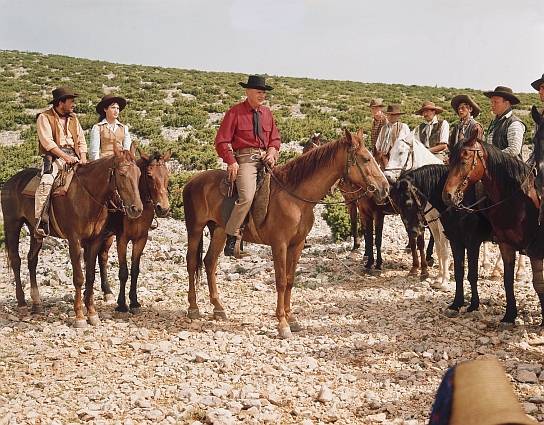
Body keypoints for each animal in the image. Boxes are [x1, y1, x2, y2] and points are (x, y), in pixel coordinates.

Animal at [0, 144, 143, 326]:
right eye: (122, 174)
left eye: (139, 174)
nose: (136, 209)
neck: (87, 196)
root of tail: (10, 181)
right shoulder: (74, 241)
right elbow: (79, 278)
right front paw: (80, 316)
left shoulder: (94, 241)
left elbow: (90, 276)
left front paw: (92, 313)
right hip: (13, 224)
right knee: (16, 260)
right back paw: (22, 303)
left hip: (34, 231)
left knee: (32, 260)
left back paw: (37, 303)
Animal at [97, 149, 170, 312]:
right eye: (149, 175)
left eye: (167, 174)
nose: (163, 208)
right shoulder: (122, 239)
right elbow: (123, 272)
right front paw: (121, 304)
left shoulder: (141, 239)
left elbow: (135, 270)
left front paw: (134, 301)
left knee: (102, 257)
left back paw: (107, 291)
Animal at [185, 129, 388, 338]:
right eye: (365, 159)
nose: (385, 188)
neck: (295, 198)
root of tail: (192, 180)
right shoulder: (279, 245)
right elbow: (281, 281)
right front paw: (282, 323)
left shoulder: (296, 245)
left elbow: (290, 280)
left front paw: (291, 319)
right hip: (194, 229)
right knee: (192, 263)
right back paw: (193, 308)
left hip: (219, 231)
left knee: (209, 263)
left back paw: (218, 307)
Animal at [384, 132, 452, 288]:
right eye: (390, 152)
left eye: (401, 152)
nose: (388, 177)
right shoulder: (428, 220)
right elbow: (436, 247)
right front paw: (436, 276)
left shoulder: (440, 221)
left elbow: (443, 248)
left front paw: (444, 279)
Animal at [442, 134, 544, 322]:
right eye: (449, 161)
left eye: (463, 161)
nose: (448, 195)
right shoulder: (505, 244)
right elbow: (507, 280)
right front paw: (509, 316)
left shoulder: (534, 250)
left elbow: (538, 283)